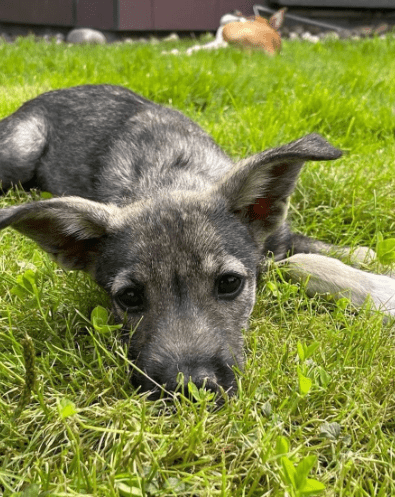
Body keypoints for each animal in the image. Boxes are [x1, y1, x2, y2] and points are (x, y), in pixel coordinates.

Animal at [0, 84, 395, 396]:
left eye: (229, 283)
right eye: (129, 297)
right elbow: (299, 263)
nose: (190, 389)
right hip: (21, 150)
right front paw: (382, 291)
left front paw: (372, 273)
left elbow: (320, 254)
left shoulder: (276, 239)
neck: (169, 176)